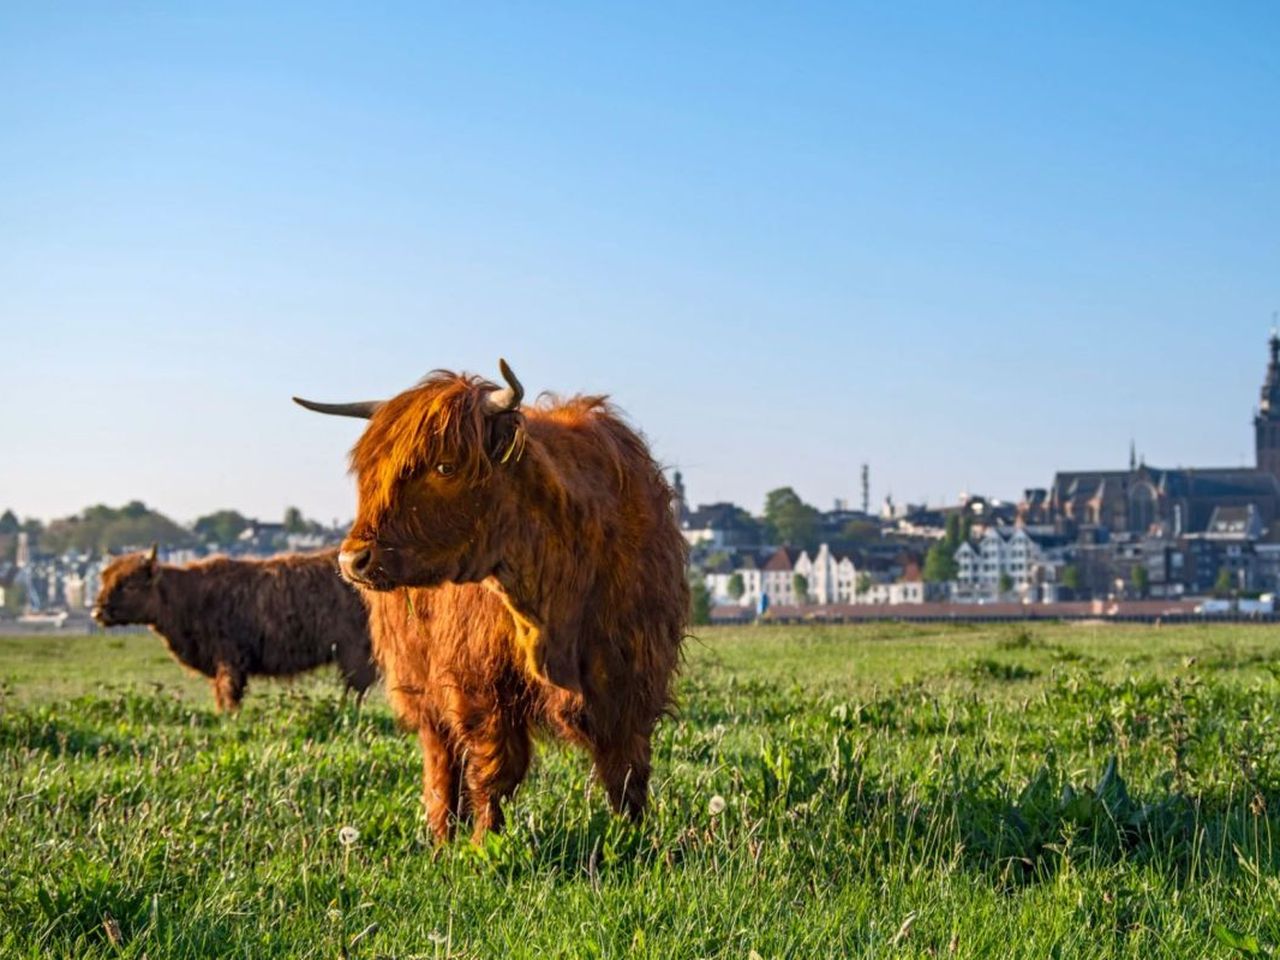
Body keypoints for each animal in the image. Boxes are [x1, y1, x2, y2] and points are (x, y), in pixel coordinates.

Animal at [90, 547, 373, 716]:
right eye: (104, 579)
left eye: (129, 585)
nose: (97, 612)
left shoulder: (230, 660)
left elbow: (229, 693)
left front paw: (230, 717)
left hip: (354, 650)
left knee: (356, 687)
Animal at [295, 360, 691, 834]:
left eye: (445, 467)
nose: (353, 558)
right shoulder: (480, 682)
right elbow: (496, 768)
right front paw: (486, 839)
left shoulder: (632, 673)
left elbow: (626, 768)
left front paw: (634, 834)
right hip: (420, 680)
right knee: (441, 757)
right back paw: (442, 833)